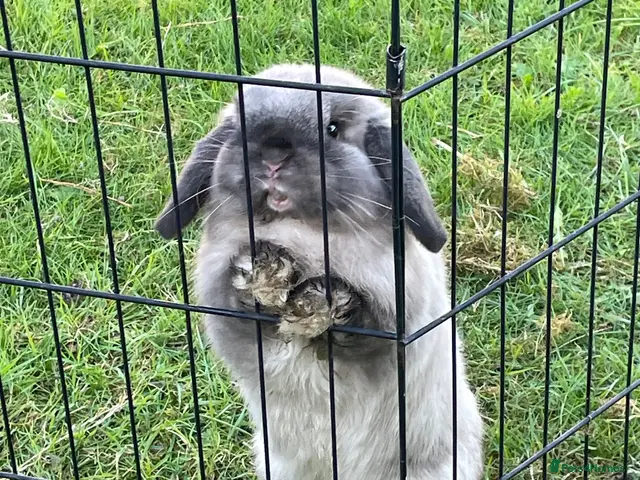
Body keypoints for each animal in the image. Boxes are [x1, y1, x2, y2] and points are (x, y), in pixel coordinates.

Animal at [154, 64, 484, 480]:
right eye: (241, 125)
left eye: (333, 129)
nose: (273, 155)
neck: (300, 231)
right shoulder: (223, 308)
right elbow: (238, 302)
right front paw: (264, 274)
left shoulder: (397, 325)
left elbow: (364, 328)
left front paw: (323, 302)